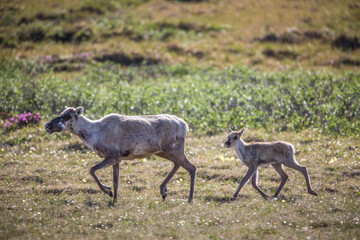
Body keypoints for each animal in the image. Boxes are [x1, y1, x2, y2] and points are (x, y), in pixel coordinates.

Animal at [45, 107, 197, 202]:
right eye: (61, 113)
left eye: (66, 116)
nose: (47, 125)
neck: (94, 133)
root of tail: (185, 125)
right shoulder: (117, 159)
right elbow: (116, 181)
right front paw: (115, 199)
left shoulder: (113, 156)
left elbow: (92, 170)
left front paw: (108, 191)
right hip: (163, 152)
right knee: (179, 164)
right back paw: (163, 191)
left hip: (173, 149)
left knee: (192, 167)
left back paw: (189, 198)